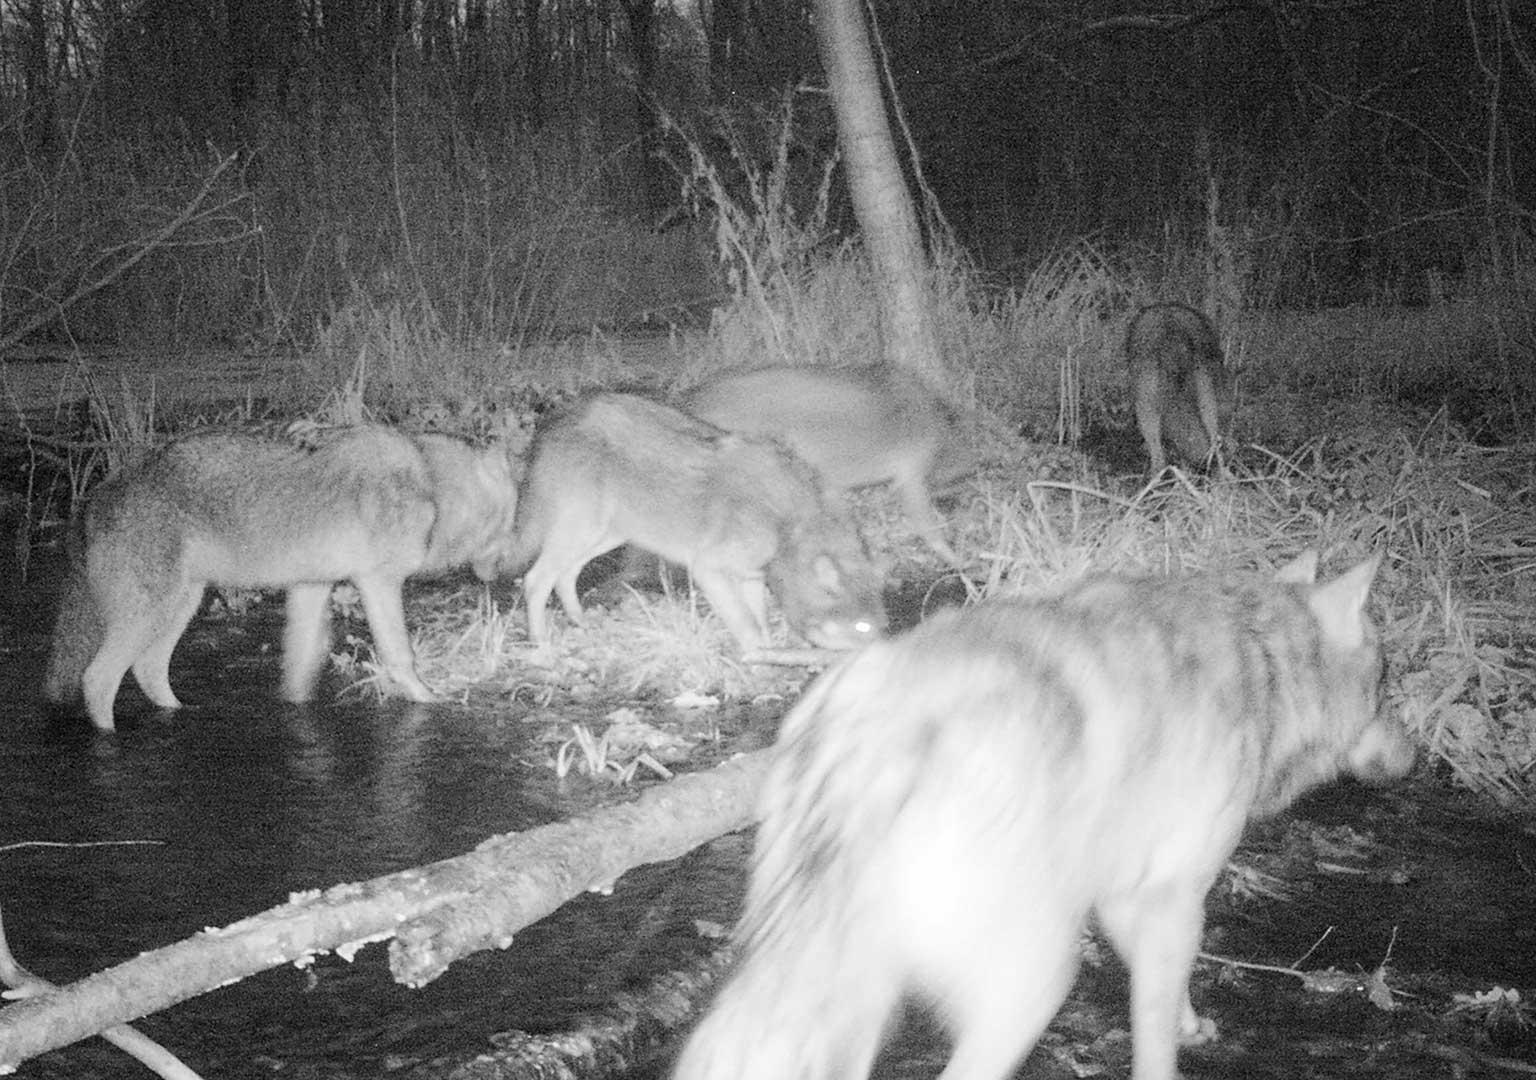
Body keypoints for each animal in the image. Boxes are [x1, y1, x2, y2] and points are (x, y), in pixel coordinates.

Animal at [40, 427, 522, 731]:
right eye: (515, 520)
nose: (516, 570)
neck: (433, 488)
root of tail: (96, 496)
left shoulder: (310, 587)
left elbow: (299, 667)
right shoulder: (378, 582)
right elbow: (401, 655)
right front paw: (430, 700)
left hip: (180, 606)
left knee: (149, 670)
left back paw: (180, 712)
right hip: (154, 612)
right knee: (97, 680)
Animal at [503, 393, 890, 654]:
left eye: (883, 626)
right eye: (861, 627)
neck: (788, 526)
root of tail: (553, 424)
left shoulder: (751, 576)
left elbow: (760, 618)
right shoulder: (709, 568)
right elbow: (746, 624)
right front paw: (759, 660)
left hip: (607, 534)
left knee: (565, 575)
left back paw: (581, 621)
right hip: (585, 531)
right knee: (536, 579)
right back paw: (541, 643)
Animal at [672, 553, 1413, 1080]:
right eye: (1386, 686)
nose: (1413, 754)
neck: (1263, 654)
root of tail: (872, 737)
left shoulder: (1124, 898)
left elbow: (1167, 991)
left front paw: (1191, 1024)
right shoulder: (1172, 896)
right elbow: (1153, 1040)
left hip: (853, 995)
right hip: (1033, 981)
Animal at [681, 365, 970, 565]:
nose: (959, 509)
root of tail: (697, 396)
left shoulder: (831, 484)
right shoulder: (910, 475)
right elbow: (924, 522)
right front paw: (953, 557)